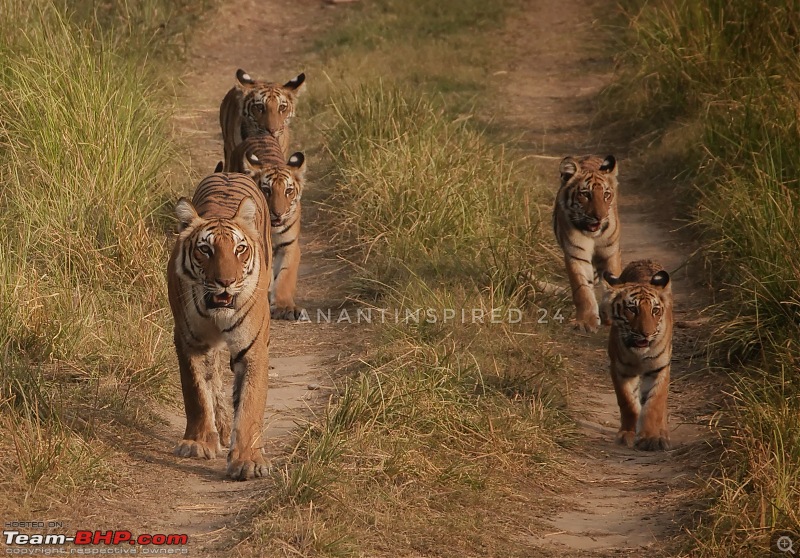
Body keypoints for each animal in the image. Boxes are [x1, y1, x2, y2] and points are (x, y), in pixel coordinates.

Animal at [166, 172, 272, 482]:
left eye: (240, 249)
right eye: (206, 250)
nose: (226, 282)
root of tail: (230, 172)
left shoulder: (253, 349)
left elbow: (250, 404)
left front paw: (248, 461)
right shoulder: (188, 341)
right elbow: (196, 392)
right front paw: (197, 443)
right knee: (213, 378)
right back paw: (221, 428)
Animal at [228, 134, 310, 322]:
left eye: (288, 191)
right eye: (267, 190)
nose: (278, 213)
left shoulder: (289, 246)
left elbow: (285, 276)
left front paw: (284, 307)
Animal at [552, 154, 620, 332]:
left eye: (606, 195)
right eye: (585, 194)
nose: (599, 217)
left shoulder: (610, 253)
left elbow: (613, 284)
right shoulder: (576, 255)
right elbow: (582, 290)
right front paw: (586, 321)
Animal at [604, 260, 672, 452]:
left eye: (655, 310)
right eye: (632, 309)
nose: (646, 334)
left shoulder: (660, 368)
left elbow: (654, 404)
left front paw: (650, 437)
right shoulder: (619, 369)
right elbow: (628, 402)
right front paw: (626, 434)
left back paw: (662, 433)